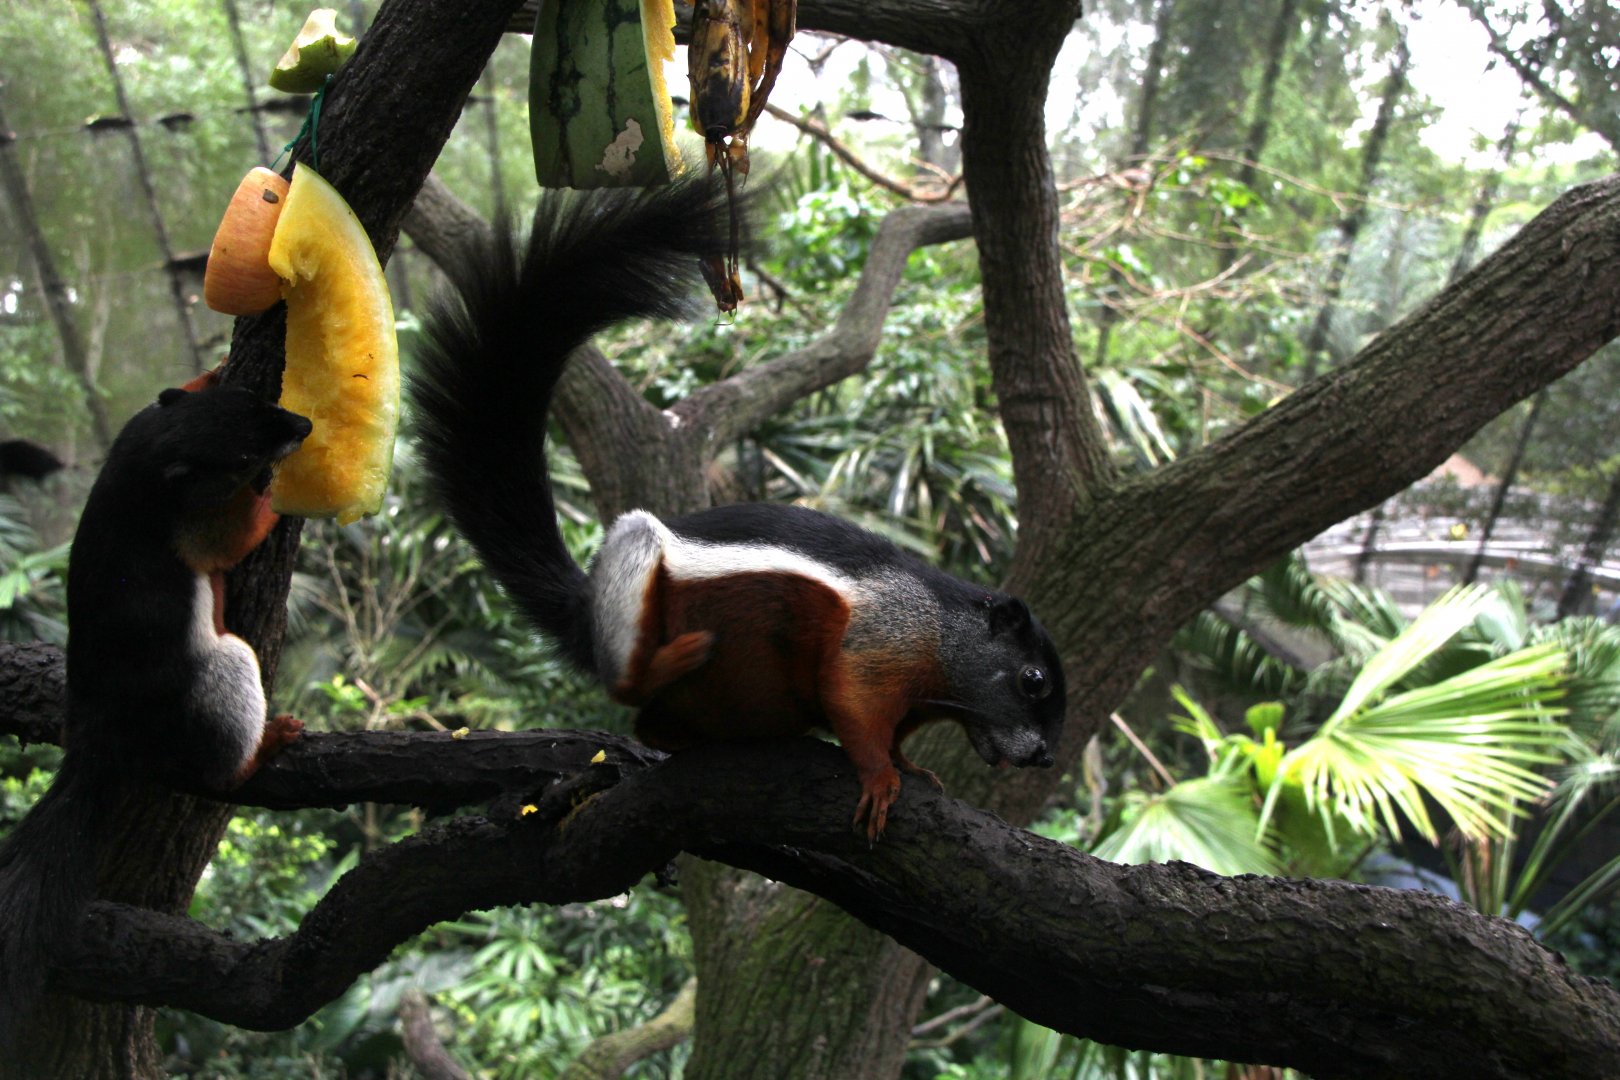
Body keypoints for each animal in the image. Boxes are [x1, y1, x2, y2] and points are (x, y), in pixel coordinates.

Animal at [0, 369, 312, 1056]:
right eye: (240, 459)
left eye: (253, 399)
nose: (303, 428)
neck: (145, 459)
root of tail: (99, 736)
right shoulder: (190, 527)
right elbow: (229, 540)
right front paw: (276, 497)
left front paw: (205, 370)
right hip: (224, 668)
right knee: (222, 759)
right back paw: (262, 746)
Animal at [409, 177, 1066, 841]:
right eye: (1032, 680)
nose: (1044, 757)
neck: (942, 631)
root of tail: (585, 613)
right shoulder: (877, 645)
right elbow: (856, 711)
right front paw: (882, 778)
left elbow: (897, 734)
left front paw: (911, 765)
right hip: (639, 564)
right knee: (627, 682)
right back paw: (671, 659)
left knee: (650, 724)